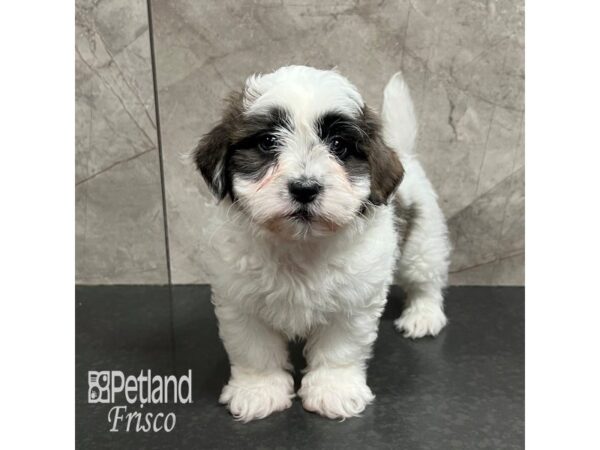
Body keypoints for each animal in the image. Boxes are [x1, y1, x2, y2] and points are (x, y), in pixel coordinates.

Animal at [193, 66, 450, 422]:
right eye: (267, 142)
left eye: (339, 146)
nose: (305, 188)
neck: (300, 244)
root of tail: (405, 154)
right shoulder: (240, 299)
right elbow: (254, 348)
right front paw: (258, 390)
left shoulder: (354, 300)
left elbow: (339, 348)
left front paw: (334, 390)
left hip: (421, 241)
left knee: (426, 278)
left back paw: (423, 314)